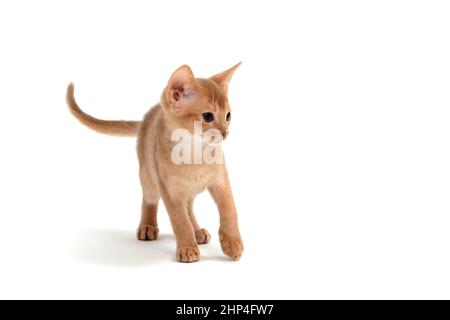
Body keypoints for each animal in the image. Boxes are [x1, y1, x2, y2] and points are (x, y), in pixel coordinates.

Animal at [65, 63, 244, 262]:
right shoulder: (169, 190)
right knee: (149, 200)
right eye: (207, 116)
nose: (225, 133)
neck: (194, 154)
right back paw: (148, 227)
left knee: (189, 206)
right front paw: (187, 248)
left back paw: (197, 230)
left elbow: (230, 211)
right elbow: (180, 221)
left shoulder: (221, 182)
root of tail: (148, 117)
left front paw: (232, 243)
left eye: (228, 116)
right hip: (147, 174)